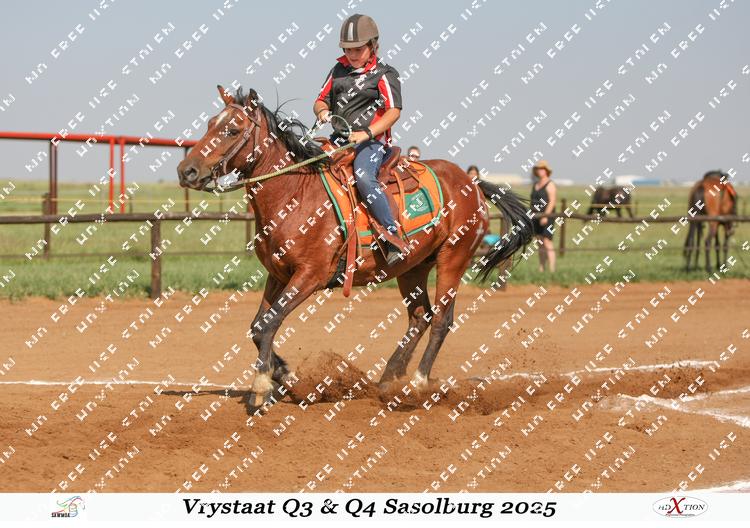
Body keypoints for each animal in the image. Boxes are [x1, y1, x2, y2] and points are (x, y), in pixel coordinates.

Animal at [177, 86, 533, 412]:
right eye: (210, 123)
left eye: (232, 129)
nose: (186, 170)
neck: (295, 193)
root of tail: (472, 184)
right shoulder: (278, 274)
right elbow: (257, 327)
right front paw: (287, 376)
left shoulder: (309, 275)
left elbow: (269, 323)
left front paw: (262, 388)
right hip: (412, 267)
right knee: (420, 317)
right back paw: (388, 380)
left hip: (452, 259)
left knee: (442, 320)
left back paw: (418, 384)